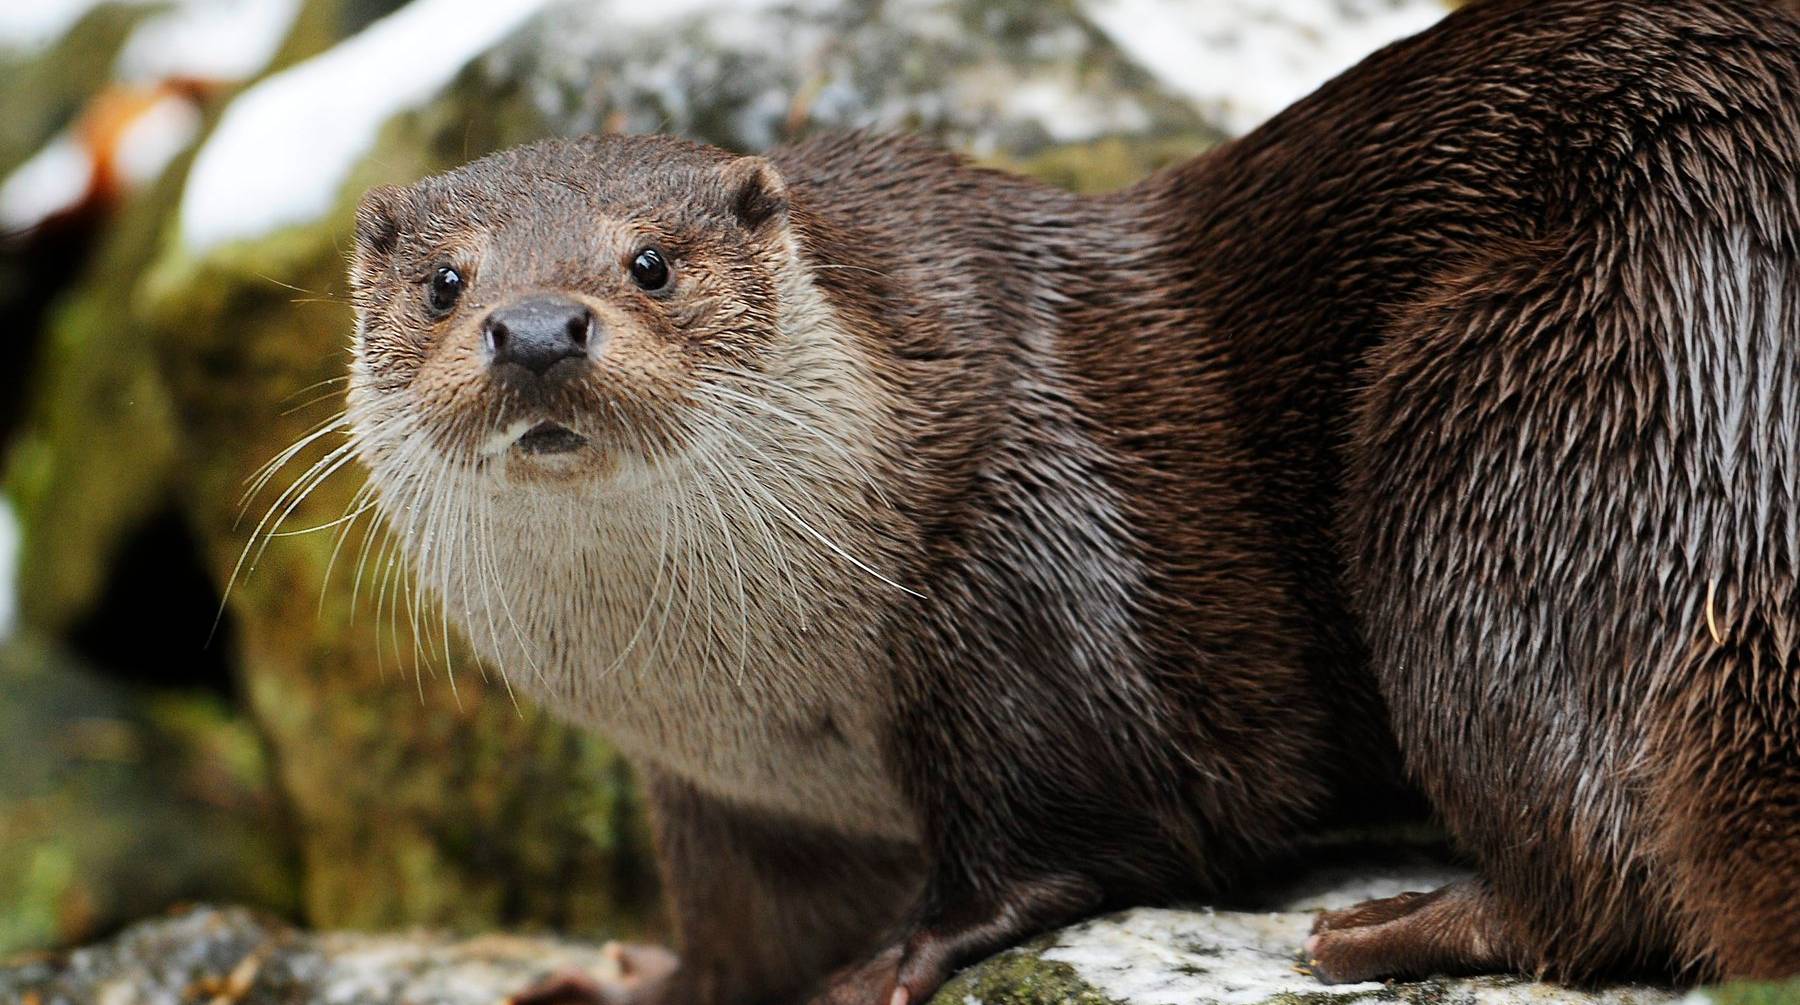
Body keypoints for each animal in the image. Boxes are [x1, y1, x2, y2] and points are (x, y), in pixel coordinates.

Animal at [347, 0, 1800, 1001]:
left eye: (651, 263)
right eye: (445, 283)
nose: (539, 327)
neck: (775, 705)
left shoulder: (1028, 556)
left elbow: (1089, 821)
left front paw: (907, 952)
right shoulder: (730, 802)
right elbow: (739, 936)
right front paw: (625, 979)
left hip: (1501, 406)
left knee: (1606, 886)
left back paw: (1392, 926)